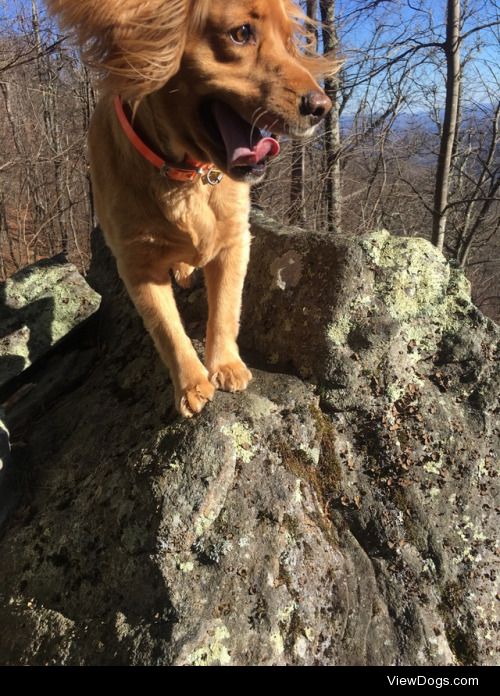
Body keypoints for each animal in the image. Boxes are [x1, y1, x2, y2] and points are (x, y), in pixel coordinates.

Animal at [47, 0, 332, 416]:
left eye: (288, 40)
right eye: (241, 33)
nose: (322, 107)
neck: (185, 175)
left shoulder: (234, 241)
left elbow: (226, 309)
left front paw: (226, 365)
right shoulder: (137, 264)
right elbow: (167, 329)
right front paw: (192, 385)